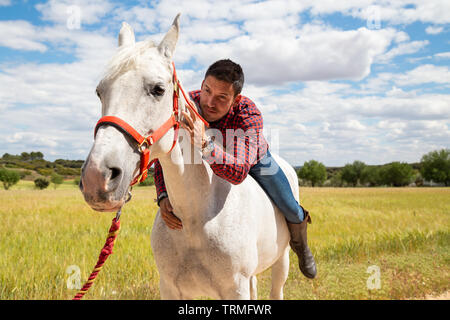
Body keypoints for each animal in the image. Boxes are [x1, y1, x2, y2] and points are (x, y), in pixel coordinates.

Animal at [81, 15, 300, 300]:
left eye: (158, 89)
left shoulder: (236, 288)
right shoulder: (170, 287)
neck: (195, 216)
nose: (97, 177)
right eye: (100, 91)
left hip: (281, 260)